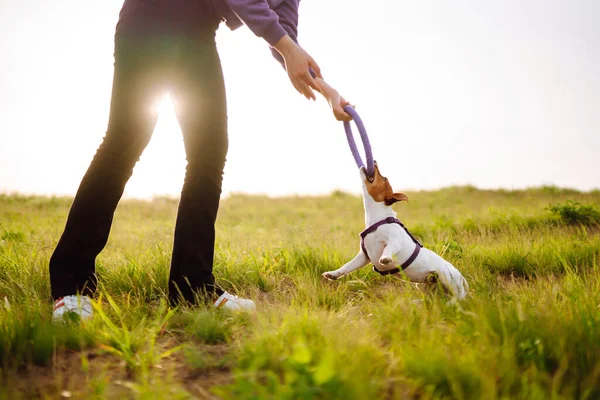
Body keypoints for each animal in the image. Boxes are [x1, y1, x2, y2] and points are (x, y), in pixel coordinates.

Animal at [324, 162, 468, 300]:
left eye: (384, 178)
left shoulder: (394, 241)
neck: (377, 219)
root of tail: (462, 278)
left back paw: (451, 304)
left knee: (459, 297)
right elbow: (347, 266)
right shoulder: (363, 257)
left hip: (446, 276)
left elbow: (388, 248)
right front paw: (333, 274)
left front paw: (385, 258)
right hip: (425, 285)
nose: (374, 161)